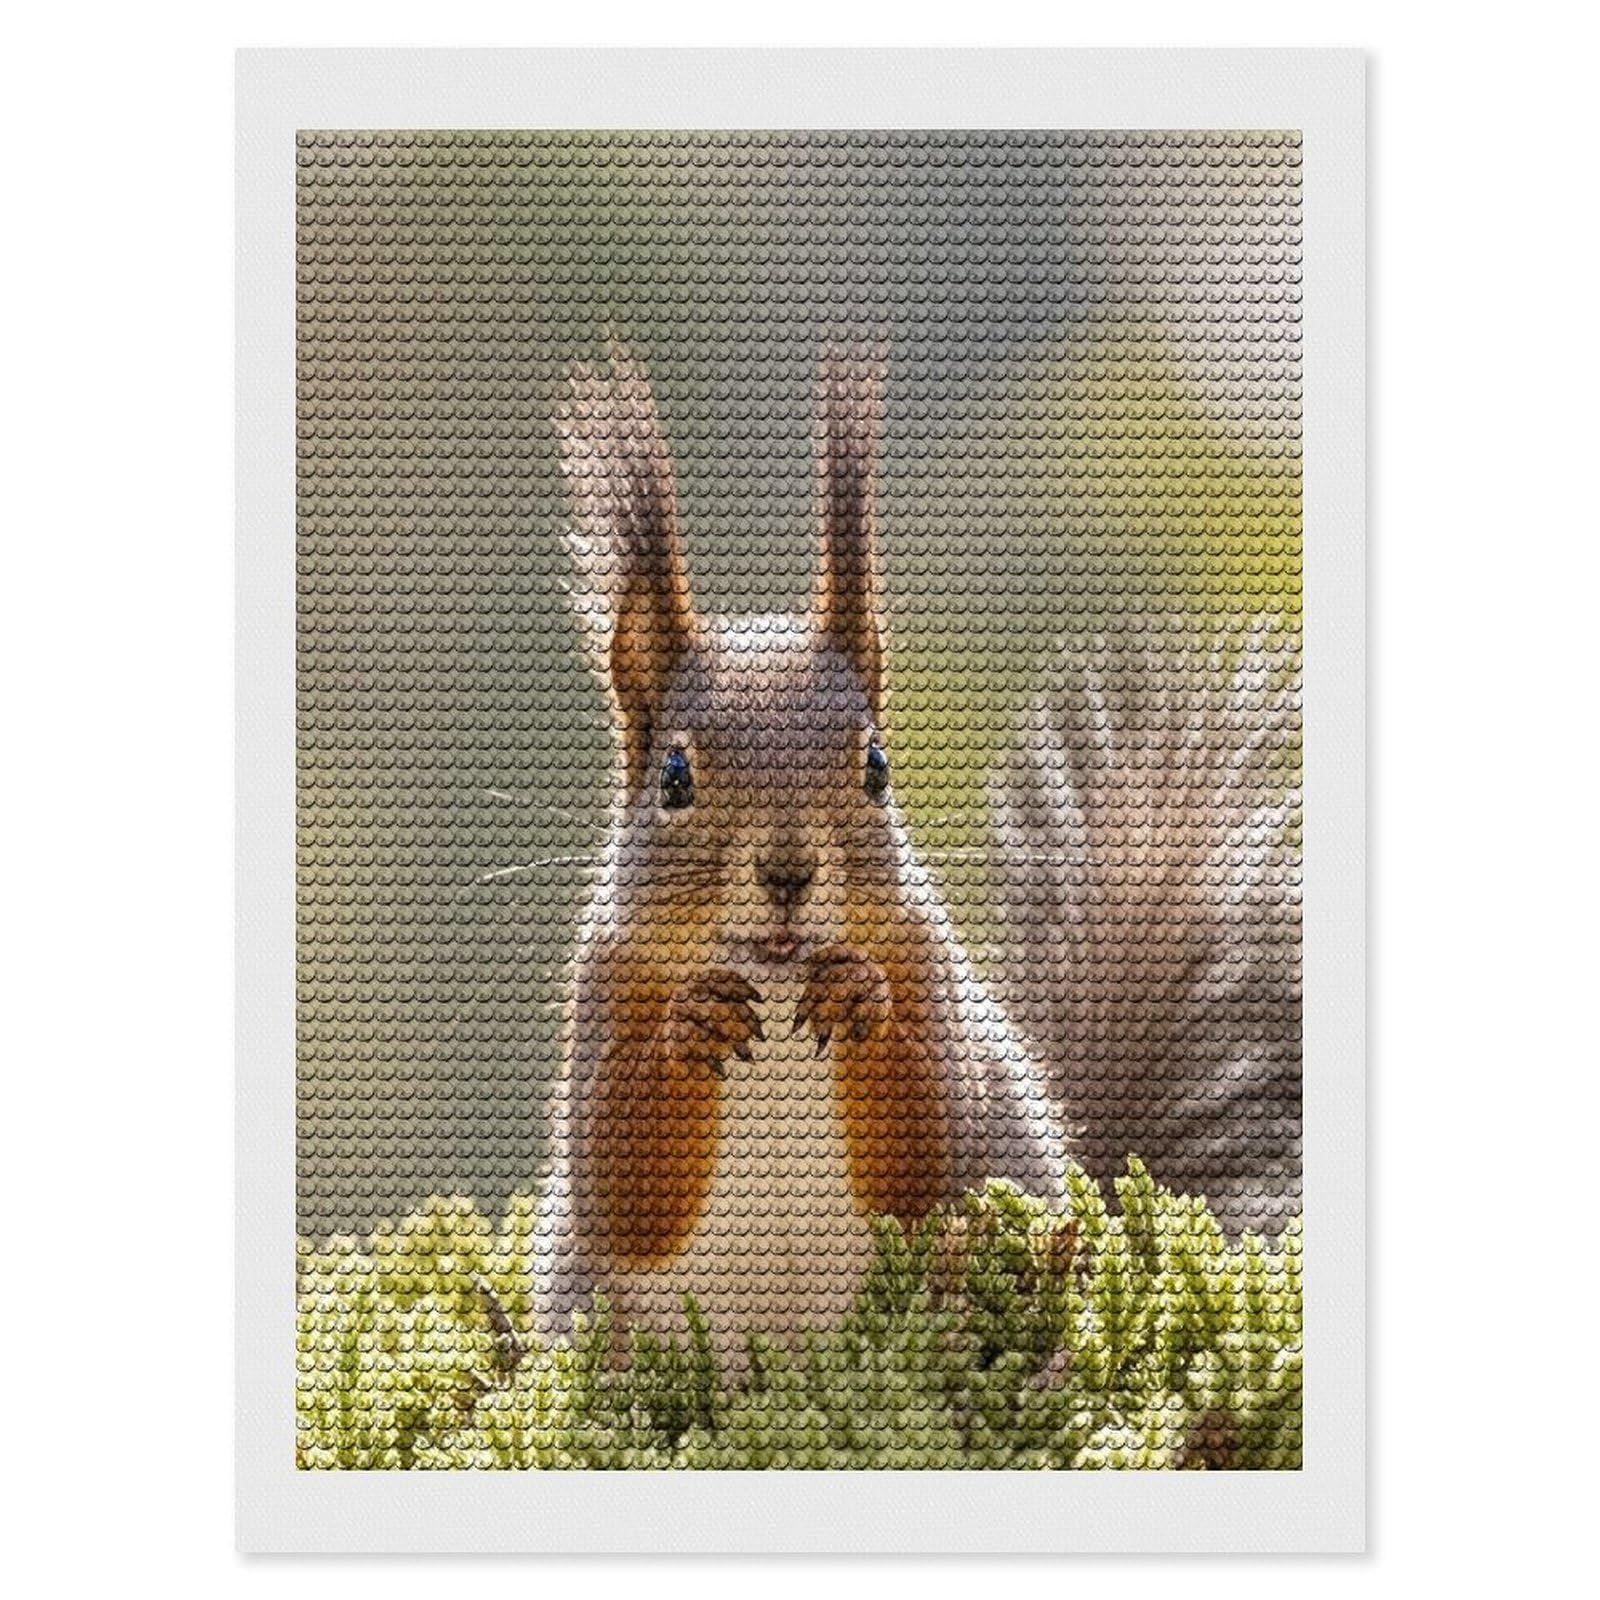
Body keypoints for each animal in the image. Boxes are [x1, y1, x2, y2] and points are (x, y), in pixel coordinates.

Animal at [532, 346, 1065, 1354]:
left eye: (877, 767)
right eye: (673, 778)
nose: (788, 872)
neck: (775, 989)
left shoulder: (928, 966)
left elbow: (927, 1146)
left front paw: (861, 999)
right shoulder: (602, 985)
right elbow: (618, 1179)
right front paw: (690, 1026)